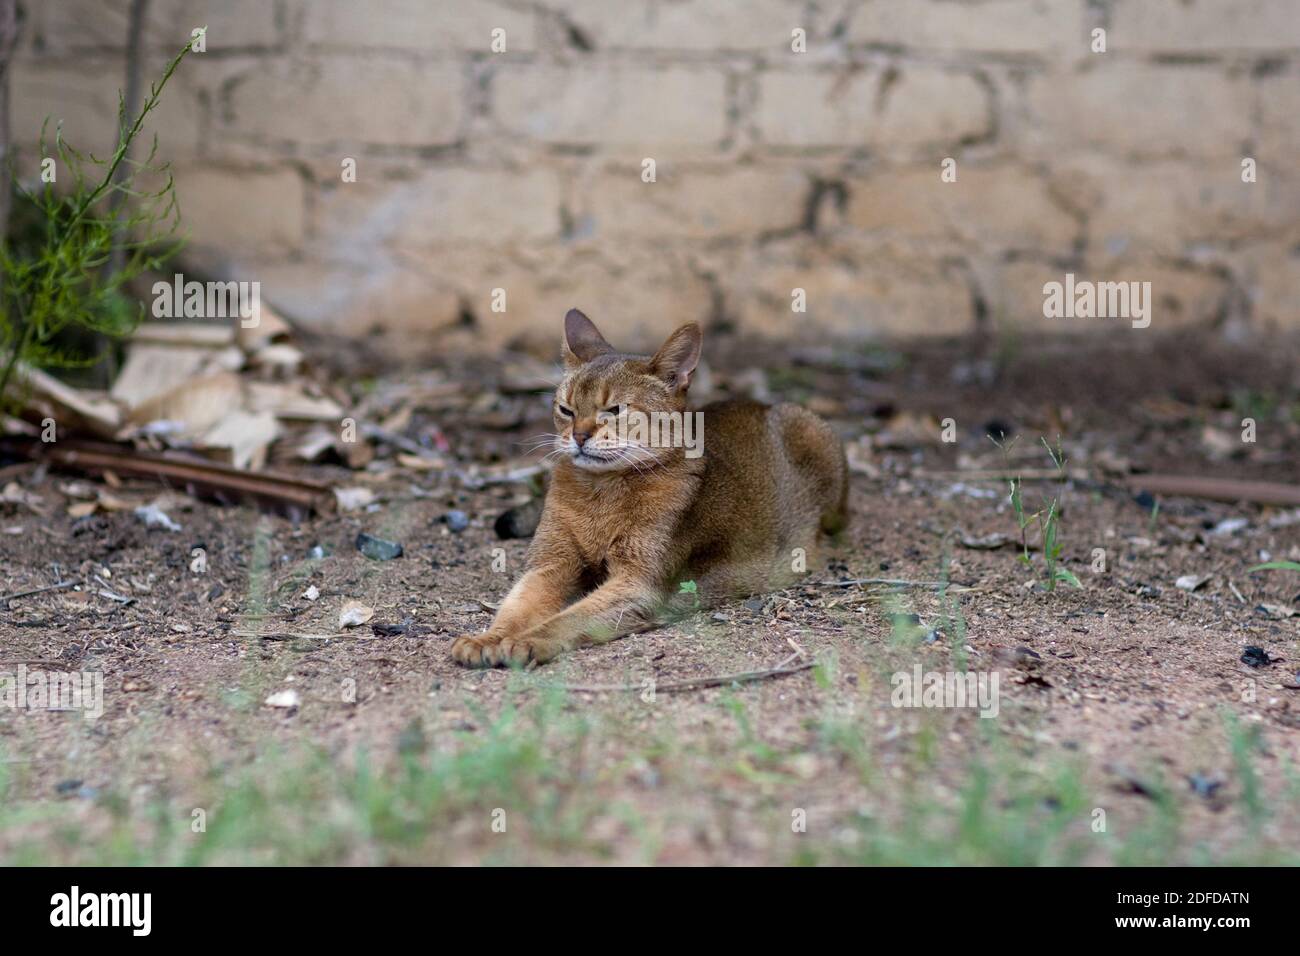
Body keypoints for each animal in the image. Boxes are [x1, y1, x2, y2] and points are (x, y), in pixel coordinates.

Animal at [452, 310, 847, 671]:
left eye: (614, 410)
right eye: (565, 409)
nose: (578, 436)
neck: (600, 494)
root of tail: (761, 403)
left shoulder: (638, 583)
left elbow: (569, 617)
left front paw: (526, 641)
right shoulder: (550, 563)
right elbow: (516, 606)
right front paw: (487, 639)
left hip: (812, 433)